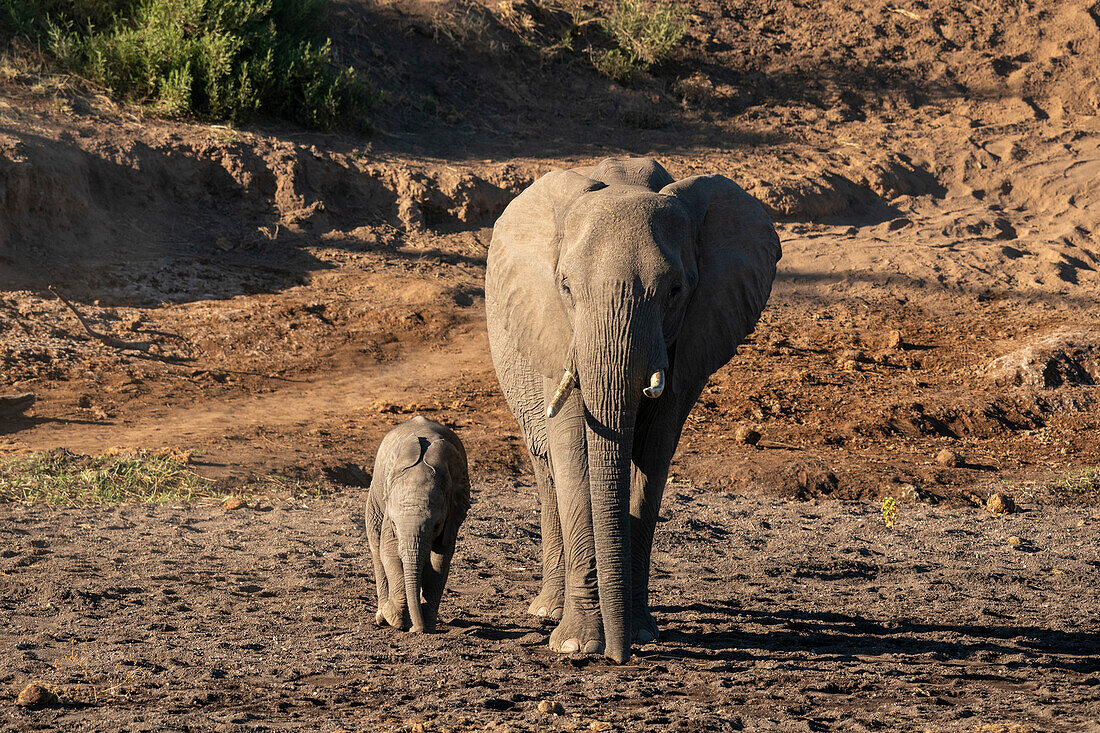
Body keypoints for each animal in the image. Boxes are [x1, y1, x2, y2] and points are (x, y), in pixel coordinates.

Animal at [365, 413, 468, 629]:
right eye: (395, 525)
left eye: (437, 526)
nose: (416, 630)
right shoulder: (389, 507)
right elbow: (389, 552)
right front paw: (393, 618)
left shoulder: (451, 515)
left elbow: (440, 560)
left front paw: (427, 625)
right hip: (375, 496)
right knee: (376, 548)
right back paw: (381, 616)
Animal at [484, 157, 783, 660]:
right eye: (565, 287)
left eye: (675, 291)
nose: (617, 656)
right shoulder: (555, 333)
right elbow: (573, 456)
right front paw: (576, 645)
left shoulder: (690, 342)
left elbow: (653, 457)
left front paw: (641, 633)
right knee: (546, 468)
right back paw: (546, 612)